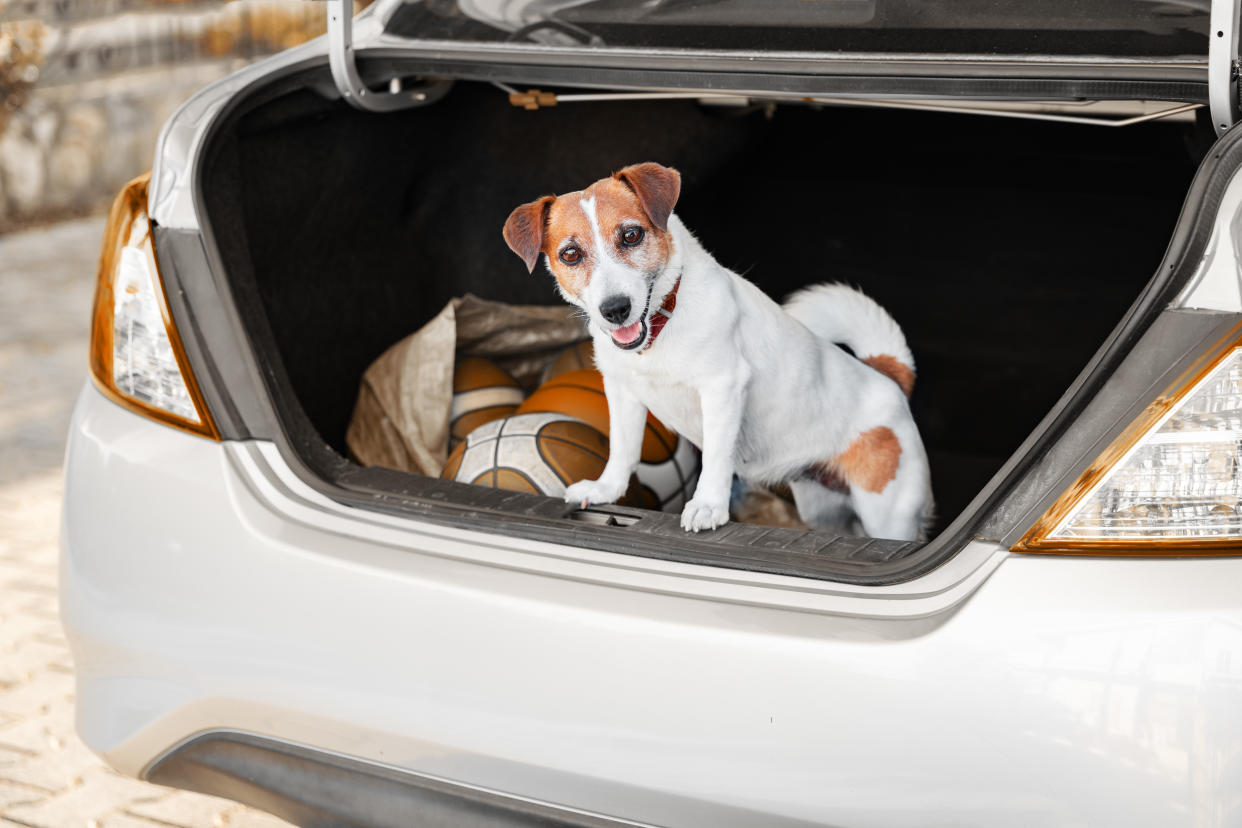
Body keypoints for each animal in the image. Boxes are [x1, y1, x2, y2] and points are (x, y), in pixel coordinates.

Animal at [504, 162, 933, 541]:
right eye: (570, 254)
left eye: (631, 235)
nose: (615, 309)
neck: (662, 326)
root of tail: (886, 377)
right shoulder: (622, 392)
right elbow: (622, 449)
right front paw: (606, 489)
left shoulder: (721, 389)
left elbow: (714, 457)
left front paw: (708, 505)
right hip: (822, 508)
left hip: (887, 512)